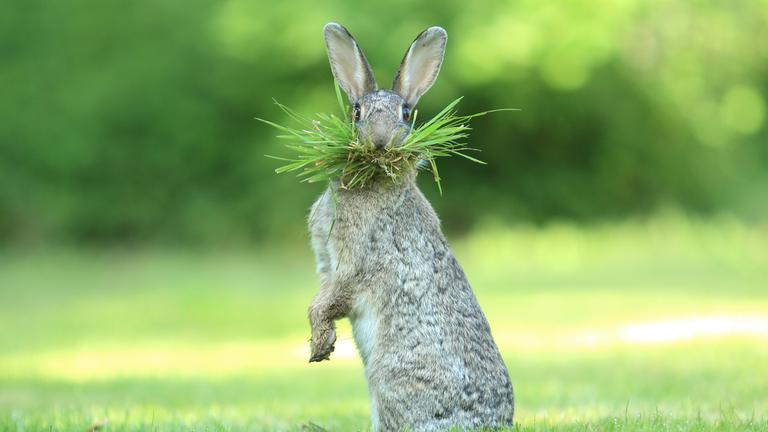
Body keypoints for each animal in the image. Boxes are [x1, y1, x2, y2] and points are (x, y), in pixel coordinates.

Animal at [307, 22, 514, 432]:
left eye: (405, 112)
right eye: (357, 111)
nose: (380, 141)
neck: (375, 181)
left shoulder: (354, 264)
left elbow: (329, 300)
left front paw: (320, 345)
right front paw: (321, 345)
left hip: (388, 377)